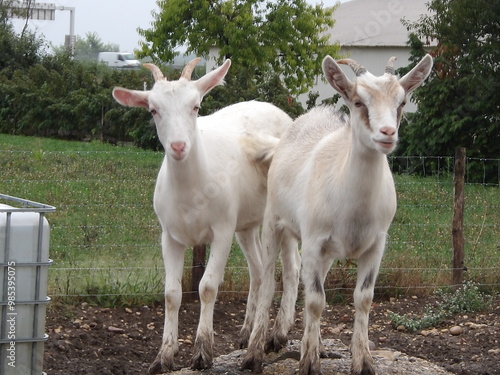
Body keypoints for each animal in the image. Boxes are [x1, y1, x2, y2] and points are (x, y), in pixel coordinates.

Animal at [111, 58, 294, 374]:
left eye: (196, 106)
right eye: (153, 110)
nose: (178, 146)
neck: (192, 191)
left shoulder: (222, 230)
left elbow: (207, 287)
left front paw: (202, 352)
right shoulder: (169, 236)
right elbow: (172, 294)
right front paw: (164, 356)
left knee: (292, 269)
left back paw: (278, 335)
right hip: (246, 223)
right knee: (258, 270)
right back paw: (246, 333)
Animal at [242, 53, 434, 375]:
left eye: (402, 101)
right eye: (358, 101)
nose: (387, 134)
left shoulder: (376, 245)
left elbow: (364, 299)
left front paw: (363, 361)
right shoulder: (313, 240)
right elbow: (315, 300)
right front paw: (308, 363)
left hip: (326, 252)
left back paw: (314, 343)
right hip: (274, 223)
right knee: (269, 282)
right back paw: (254, 352)